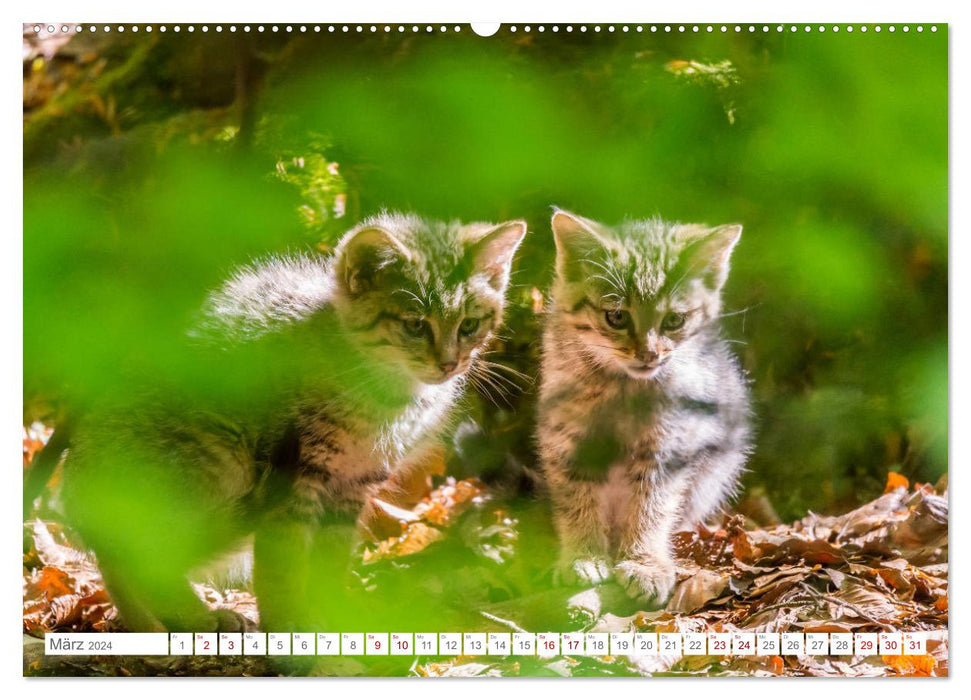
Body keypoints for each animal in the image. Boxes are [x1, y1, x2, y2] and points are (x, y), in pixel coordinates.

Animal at [59, 211, 524, 632]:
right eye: (414, 325)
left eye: (469, 325)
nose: (449, 364)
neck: (388, 398)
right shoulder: (293, 474)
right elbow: (282, 569)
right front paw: (288, 630)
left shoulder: (351, 487)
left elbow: (328, 566)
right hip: (218, 465)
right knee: (139, 556)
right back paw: (196, 617)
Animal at [540, 211, 752, 604]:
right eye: (617, 317)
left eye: (674, 320)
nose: (649, 354)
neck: (623, 389)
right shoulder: (567, 438)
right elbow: (576, 501)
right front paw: (583, 556)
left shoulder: (668, 447)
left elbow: (651, 508)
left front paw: (645, 562)